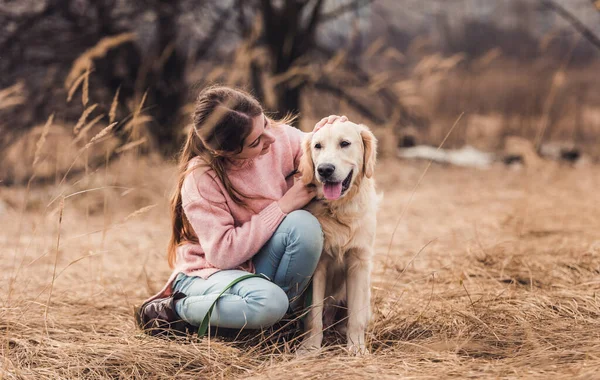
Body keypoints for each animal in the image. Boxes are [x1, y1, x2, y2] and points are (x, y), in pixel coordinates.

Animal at [298, 121, 378, 354]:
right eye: (317, 146)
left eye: (345, 143)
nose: (325, 169)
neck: (339, 209)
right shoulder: (318, 266)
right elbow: (313, 316)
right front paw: (310, 348)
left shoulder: (359, 261)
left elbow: (356, 317)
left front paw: (356, 348)